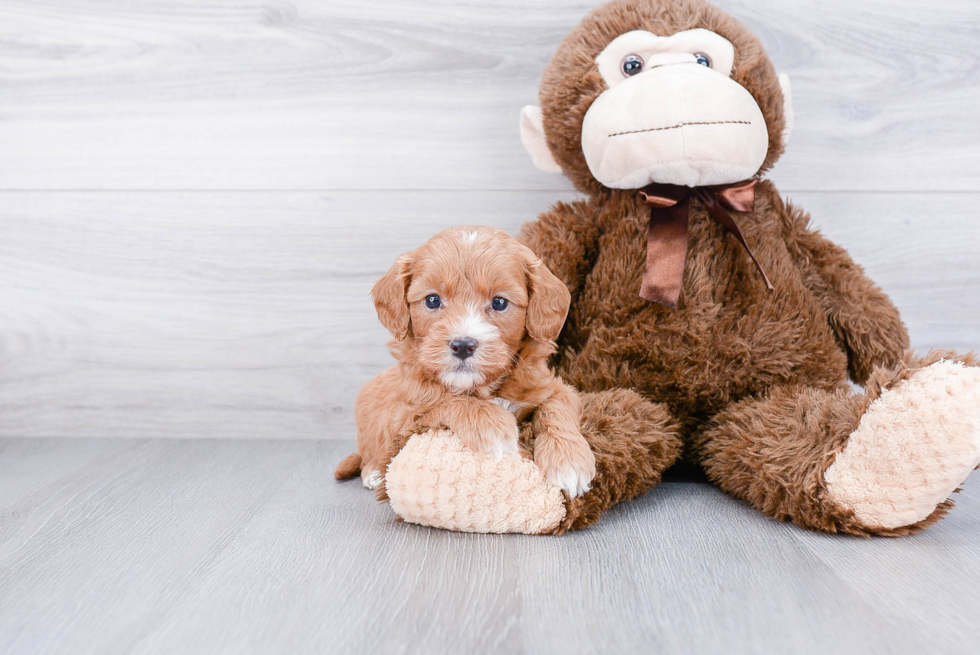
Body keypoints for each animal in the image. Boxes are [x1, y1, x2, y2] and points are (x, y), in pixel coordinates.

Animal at [336, 226, 596, 498]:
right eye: (432, 300)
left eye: (499, 302)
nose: (462, 345)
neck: (481, 387)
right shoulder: (403, 417)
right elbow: (445, 400)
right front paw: (492, 425)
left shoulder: (551, 386)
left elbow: (557, 405)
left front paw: (569, 460)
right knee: (367, 456)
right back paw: (373, 473)